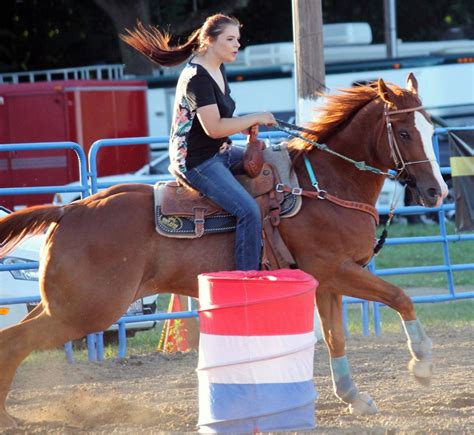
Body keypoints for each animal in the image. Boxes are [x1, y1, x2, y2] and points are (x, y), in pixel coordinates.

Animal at [0, 74, 446, 426]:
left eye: (429, 128)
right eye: (404, 132)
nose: (435, 191)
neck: (325, 185)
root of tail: (69, 209)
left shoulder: (327, 283)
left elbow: (337, 338)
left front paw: (354, 397)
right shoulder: (336, 270)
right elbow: (400, 297)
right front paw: (422, 362)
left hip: (63, 304)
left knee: (12, 340)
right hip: (86, 310)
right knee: (16, 342)